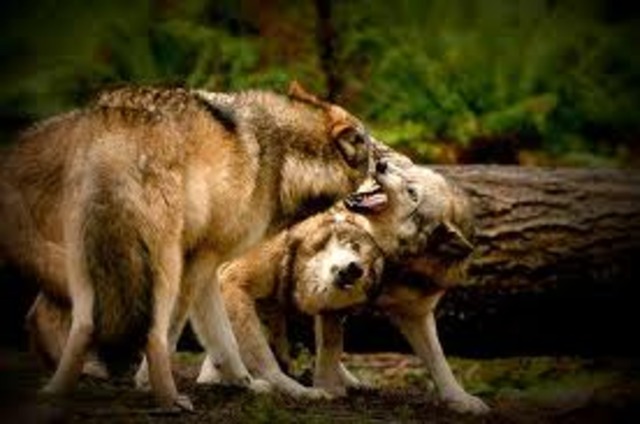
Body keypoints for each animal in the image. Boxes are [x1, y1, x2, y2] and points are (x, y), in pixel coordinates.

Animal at [0, 82, 396, 409]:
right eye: (376, 153)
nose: (388, 163)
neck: (283, 158)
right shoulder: (199, 262)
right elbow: (184, 334)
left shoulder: (210, 264)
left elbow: (224, 341)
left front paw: (245, 383)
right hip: (159, 266)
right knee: (152, 333)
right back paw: (168, 399)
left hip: (86, 265)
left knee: (74, 321)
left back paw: (59, 389)